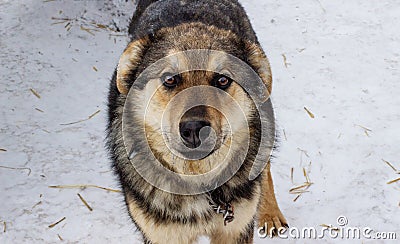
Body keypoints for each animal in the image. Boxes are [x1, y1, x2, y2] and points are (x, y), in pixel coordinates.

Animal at [106, 0, 288, 243]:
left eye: (222, 80)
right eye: (169, 79)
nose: (194, 129)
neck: (198, 182)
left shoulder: (236, 228)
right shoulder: (163, 235)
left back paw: (271, 213)